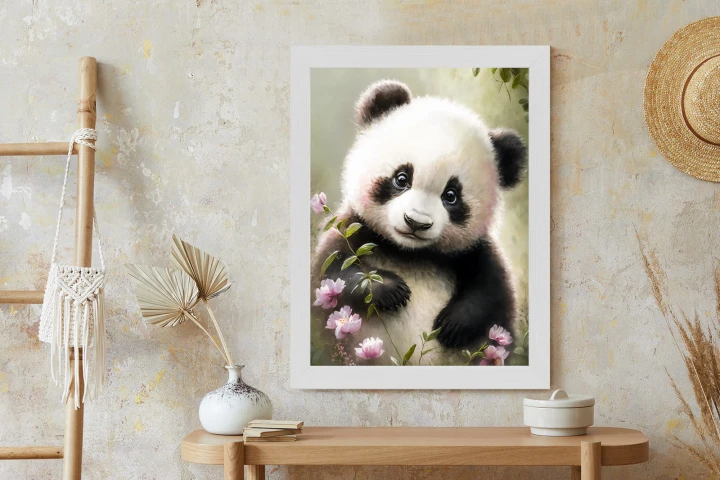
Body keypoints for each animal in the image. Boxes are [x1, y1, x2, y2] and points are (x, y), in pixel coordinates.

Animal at [312, 79, 527, 366]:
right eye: (401, 178)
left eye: (451, 195)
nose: (415, 222)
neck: (411, 253)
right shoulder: (353, 230)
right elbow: (332, 274)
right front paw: (391, 289)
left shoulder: (473, 252)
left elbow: (492, 293)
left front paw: (453, 324)